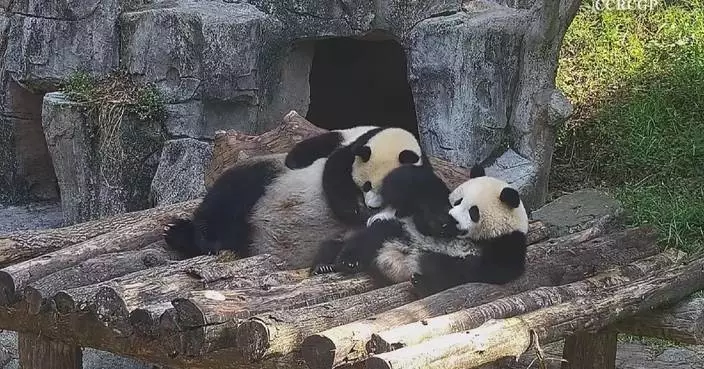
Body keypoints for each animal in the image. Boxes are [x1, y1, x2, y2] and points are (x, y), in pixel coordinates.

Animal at [163, 126, 432, 268]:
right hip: (272, 177)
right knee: (231, 194)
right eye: (365, 187)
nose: (368, 207)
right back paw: (192, 235)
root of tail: (256, 234)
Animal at [314, 164, 528, 296]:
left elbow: (482, 271)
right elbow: (413, 184)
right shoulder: (424, 209)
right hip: (399, 230)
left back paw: (420, 281)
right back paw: (334, 263)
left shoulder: (508, 246)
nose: (452, 219)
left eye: (473, 212)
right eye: (458, 201)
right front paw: (436, 220)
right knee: (370, 237)